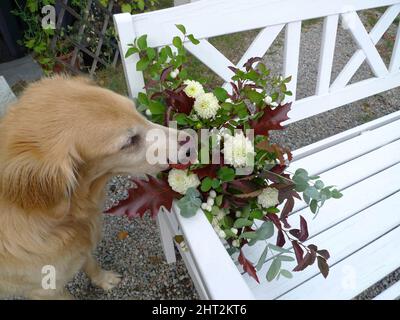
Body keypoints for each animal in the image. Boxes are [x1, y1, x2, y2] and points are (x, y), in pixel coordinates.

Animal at [0, 75, 181, 300]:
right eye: (129, 141)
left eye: (136, 111)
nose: (191, 141)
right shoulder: (45, 289)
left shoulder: (81, 245)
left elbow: (90, 262)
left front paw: (103, 279)